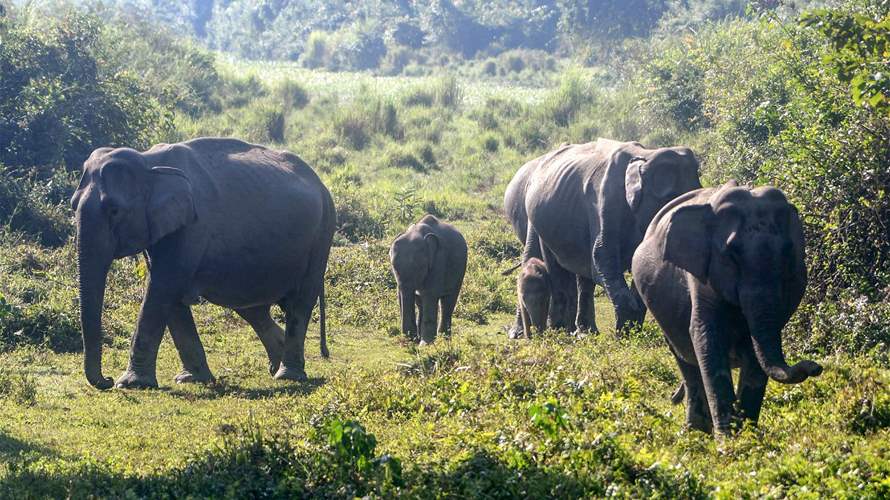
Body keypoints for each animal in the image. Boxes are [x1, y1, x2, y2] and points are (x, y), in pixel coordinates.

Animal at [70, 138, 336, 389]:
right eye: (73, 205)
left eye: (114, 210)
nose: (106, 380)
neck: (148, 161)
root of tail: (321, 185)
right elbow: (168, 294)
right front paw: (191, 379)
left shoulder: (192, 226)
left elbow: (162, 287)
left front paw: (131, 383)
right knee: (252, 307)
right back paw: (276, 364)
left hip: (322, 234)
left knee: (301, 301)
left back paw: (287, 374)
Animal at [390, 215, 467, 344]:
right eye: (393, 267)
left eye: (418, 267)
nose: (409, 339)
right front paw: (415, 341)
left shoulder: (439, 260)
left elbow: (430, 294)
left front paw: (425, 345)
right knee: (420, 302)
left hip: (460, 272)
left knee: (448, 301)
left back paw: (444, 340)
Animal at [505, 138, 702, 336]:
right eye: (670, 200)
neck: (646, 155)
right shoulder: (605, 201)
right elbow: (602, 257)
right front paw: (624, 335)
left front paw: (631, 332)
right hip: (540, 223)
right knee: (554, 268)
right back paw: (553, 332)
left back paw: (583, 332)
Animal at [631, 180, 823, 435]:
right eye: (732, 253)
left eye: (786, 251)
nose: (815, 367)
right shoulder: (701, 276)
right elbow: (706, 337)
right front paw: (729, 439)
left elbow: (755, 350)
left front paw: (748, 436)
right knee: (685, 360)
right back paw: (695, 431)